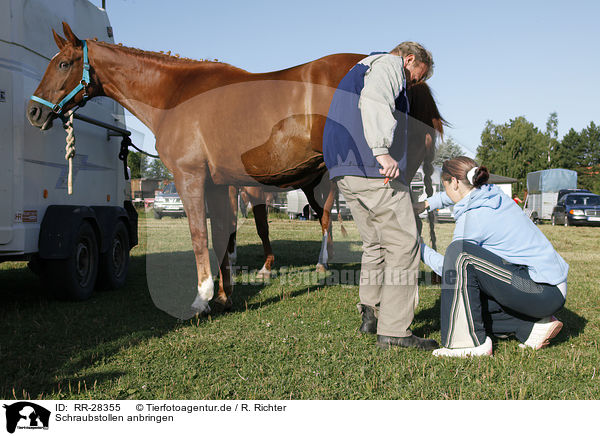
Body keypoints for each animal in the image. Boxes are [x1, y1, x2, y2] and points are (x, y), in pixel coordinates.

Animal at [27, 23, 440, 316]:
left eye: (63, 63)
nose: (34, 111)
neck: (176, 94)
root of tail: (410, 80)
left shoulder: (191, 178)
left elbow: (199, 235)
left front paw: (202, 298)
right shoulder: (220, 184)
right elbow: (221, 238)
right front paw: (224, 297)